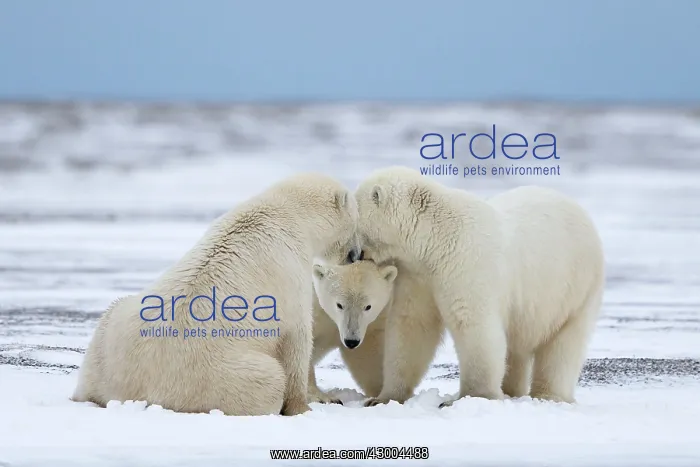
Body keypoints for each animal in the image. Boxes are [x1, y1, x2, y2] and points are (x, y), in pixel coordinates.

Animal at [72, 173, 360, 416]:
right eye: (357, 221)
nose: (357, 254)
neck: (287, 214)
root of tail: (137, 391)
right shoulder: (291, 271)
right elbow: (296, 339)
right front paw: (308, 405)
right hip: (217, 376)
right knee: (267, 380)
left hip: (109, 336)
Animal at [308, 259, 398, 404]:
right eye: (339, 305)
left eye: (368, 306)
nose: (351, 342)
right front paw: (322, 397)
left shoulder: (369, 325)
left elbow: (367, 354)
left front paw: (380, 394)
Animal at [353, 166, 605, 406]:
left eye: (355, 219)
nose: (353, 255)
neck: (435, 240)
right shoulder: (418, 277)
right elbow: (412, 327)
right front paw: (383, 397)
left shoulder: (466, 264)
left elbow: (474, 326)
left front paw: (471, 397)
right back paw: (512, 390)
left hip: (575, 289)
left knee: (563, 345)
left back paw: (549, 394)